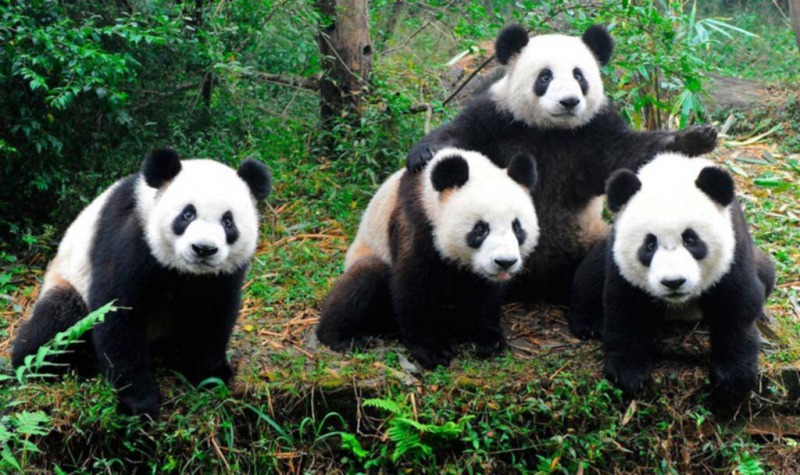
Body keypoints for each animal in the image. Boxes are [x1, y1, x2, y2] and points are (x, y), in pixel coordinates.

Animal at [11, 148, 272, 417]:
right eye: (187, 214)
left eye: (228, 222)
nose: (203, 249)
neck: (185, 271)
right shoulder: (130, 239)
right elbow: (118, 316)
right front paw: (139, 402)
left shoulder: (222, 275)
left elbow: (213, 317)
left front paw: (212, 376)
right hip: (69, 280)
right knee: (57, 324)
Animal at [316, 148, 540, 369]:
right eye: (480, 229)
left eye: (517, 227)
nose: (505, 262)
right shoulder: (416, 221)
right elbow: (414, 285)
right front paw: (434, 350)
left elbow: (484, 292)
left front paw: (486, 338)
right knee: (365, 277)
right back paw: (341, 337)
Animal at [406, 24, 718, 304]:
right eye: (545, 76)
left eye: (579, 75)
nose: (569, 101)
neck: (550, 129)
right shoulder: (497, 118)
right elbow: (461, 134)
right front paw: (424, 153)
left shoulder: (595, 130)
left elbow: (629, 155)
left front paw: (695, 138)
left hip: (588, 236)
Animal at [567, 153, 775, 403]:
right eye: (649, 244)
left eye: (691, 240)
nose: (673, 282)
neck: (671, 172)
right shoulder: (620, 261)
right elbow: (626, 308)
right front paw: (628, 373)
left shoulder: (734, 248)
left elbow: (737, 305)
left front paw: (734, 378)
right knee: (589, 275)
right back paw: (588, 324)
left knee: (767, 273)